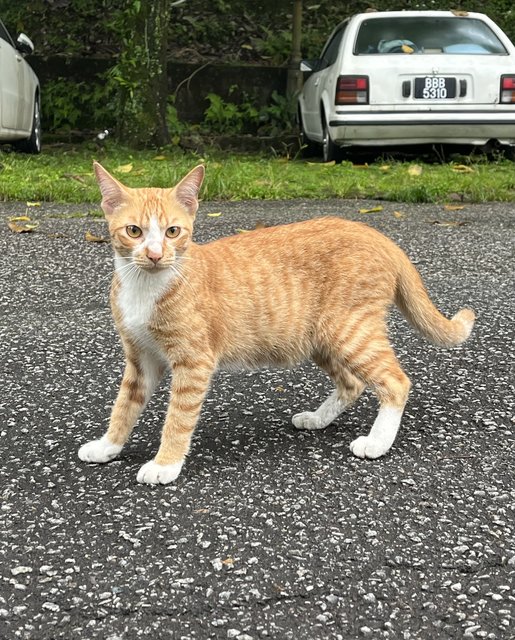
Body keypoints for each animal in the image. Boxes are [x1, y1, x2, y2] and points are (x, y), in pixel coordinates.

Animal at [78, 162, 478, 482]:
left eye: (173, 232)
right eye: (134, 231)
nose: (155, 254)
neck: (147, 285)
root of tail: (377, 235)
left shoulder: (193, 363)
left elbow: (178, 418)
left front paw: (165, 464)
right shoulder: (140, 359)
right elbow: (124, 407)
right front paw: (108, 446)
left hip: (348, 332)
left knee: (396, 382)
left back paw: (377, 442)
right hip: (321, 338)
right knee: (352, 384)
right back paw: (318, 419)